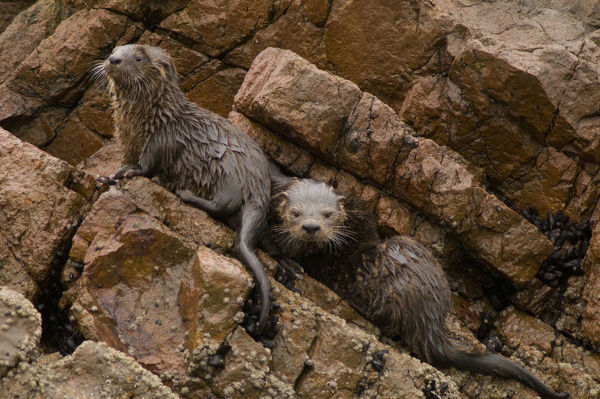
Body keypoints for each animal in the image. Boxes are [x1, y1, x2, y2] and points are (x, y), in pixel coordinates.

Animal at [91, 44, 272, 334]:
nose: (113, 59)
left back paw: (184, 193)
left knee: (225, 204)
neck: (148, 117)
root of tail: (259, 189)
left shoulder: (160, 140)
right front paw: (108, 176)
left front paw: (128, 173)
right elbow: (123, 163)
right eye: (116, 50)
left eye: (138, 58)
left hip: (227, 171)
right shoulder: (127, 142)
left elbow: (146, 167)